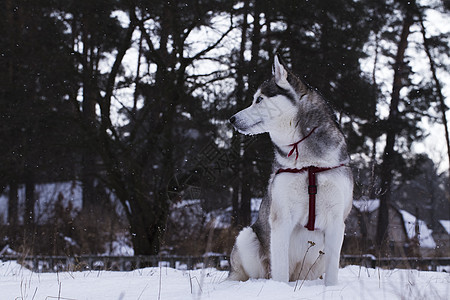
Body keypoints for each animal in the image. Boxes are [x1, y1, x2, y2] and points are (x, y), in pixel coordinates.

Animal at [229, 56, 352, 286]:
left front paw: (331, 288)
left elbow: (332, 271)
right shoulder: (281, 218)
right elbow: (280, 268)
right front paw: (279, 288)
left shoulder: (336, 220)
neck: (309, 164)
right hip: (246, 237)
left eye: (259, 99)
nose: (231, 119)